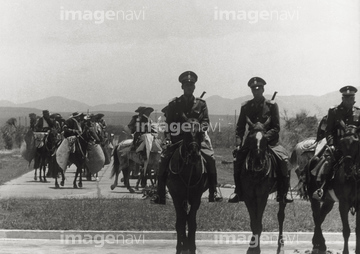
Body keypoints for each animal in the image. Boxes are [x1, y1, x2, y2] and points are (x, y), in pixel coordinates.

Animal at [165, 117, 205, 254]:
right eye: (185, 133)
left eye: (201, 133)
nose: (194, 155)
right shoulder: (176, 197)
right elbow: (180, 223)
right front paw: (180, 247)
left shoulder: (196, 198)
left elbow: (192, 222)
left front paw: (191, 247)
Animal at [239, 117, 290, 254]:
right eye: (250, 137)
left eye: (266, 139)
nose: (258, 162)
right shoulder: (249, 196)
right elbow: (254, 222)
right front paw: (252, 247)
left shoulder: (262, 196)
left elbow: (258, 223)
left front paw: (255, 248)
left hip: (282, 192)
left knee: (281, 216)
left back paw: (281, 246)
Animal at [300, 122, 360, 253]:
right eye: (341, 143)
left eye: (356, 142)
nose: (348, 168)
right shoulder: (343, 204)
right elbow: (346, 231)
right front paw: (345, 251)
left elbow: (357, 230)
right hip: (314, 198)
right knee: (317, 217)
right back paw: (318, 245)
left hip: (329, 201)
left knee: (321, 216)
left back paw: (319, 244)